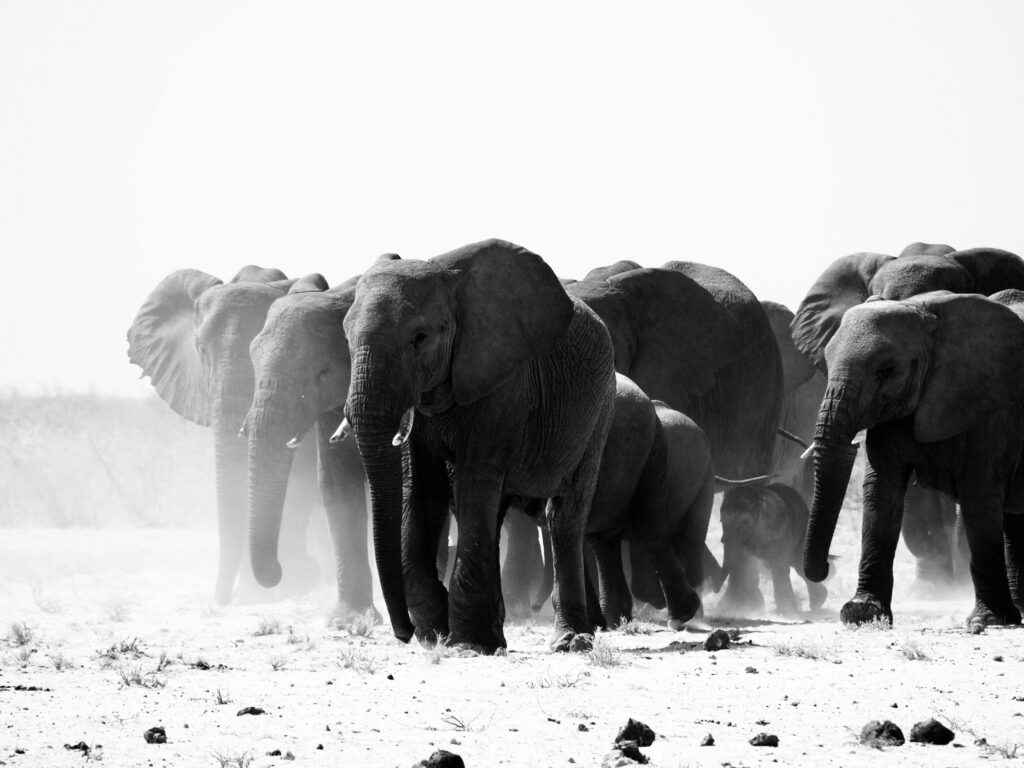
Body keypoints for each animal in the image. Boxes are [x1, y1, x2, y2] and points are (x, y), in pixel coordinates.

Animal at [339, 239, 616, 653]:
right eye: (345, 337)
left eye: (420, 338)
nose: (403, 634)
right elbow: (421, 489)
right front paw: (436, 633)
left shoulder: (505, 384)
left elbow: (473, 482)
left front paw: (469, 643)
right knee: (495, 511)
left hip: (599, 409)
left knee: (564, 514)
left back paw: (570, 641)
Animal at [717, 482, 826, 614]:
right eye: (721, 520)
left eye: (745, 522)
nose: (715, 590)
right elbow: (740, 564)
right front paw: (730, 609)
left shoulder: (777, 531)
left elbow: (779, 566)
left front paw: (787, 611)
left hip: (803, 528)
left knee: (798, 564)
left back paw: (816, 604)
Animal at [800, 289, 1024, 629]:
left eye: (886, 371)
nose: (825, 568)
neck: (922, 311)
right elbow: (881, 491)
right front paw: (862, 614)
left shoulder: (992, 403)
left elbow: (980, 495)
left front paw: (987, 621)